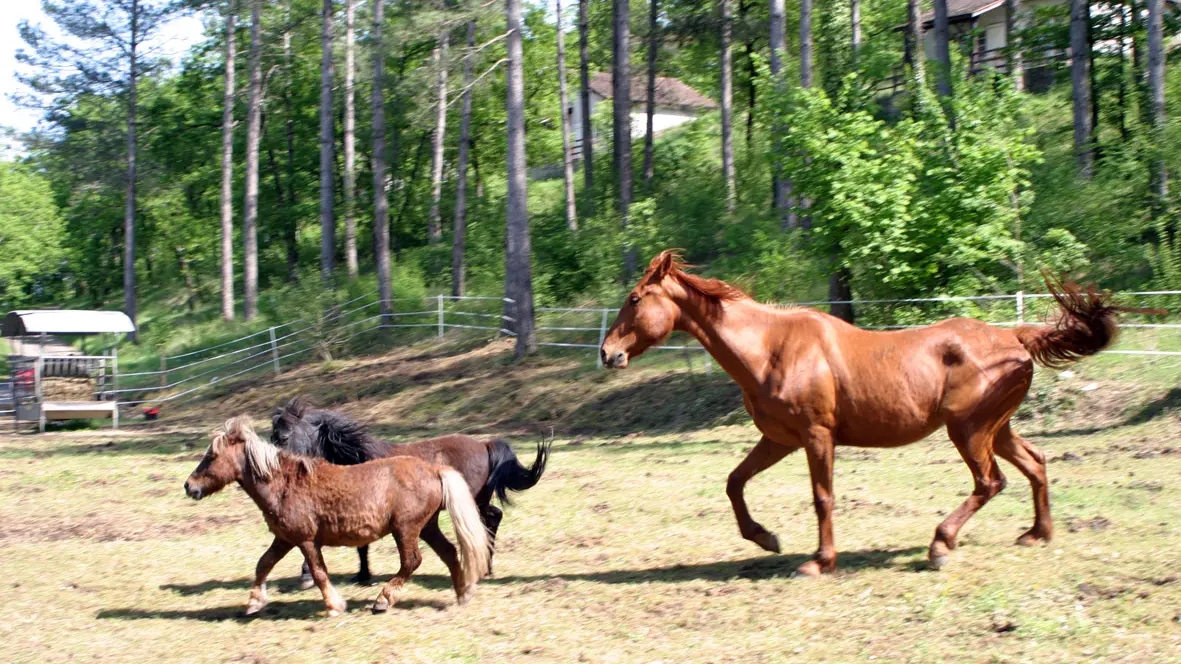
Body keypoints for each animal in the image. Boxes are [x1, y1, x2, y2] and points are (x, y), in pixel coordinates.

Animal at [184, 415, 488, 614]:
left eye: (211, 456)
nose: (189, 486)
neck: (284, 485)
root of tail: (435, 470)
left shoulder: (306, 541)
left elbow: (319, 572)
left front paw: (334, 605)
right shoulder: (284, 539)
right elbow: (263, 564)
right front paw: (254, 602)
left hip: (406, 529)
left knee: (412, 561)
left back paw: (382, 600)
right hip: (427, 527)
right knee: (449, 552)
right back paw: (463, 594)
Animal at [270, 394, 547, 581]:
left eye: (284, 437)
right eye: (272, 437)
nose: (273, 467)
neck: (353, 457)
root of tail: (484, 445)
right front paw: (362, 575)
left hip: (474, 502)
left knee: (489, 519)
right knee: (493, 517)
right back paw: (487, 568)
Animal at [604, 249, 1129, 574]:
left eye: (634, 299)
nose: (608, 353)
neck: (772, 348)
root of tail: (1014, 337)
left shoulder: (817, 436)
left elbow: (822, 498)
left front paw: (819, 562)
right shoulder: (779, 439)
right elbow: (735, 483)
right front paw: (766, 538)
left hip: (968, 430)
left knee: (990, 482)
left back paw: (940, 545)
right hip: (994, 429)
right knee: (1035, 464)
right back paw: (1036, 535)